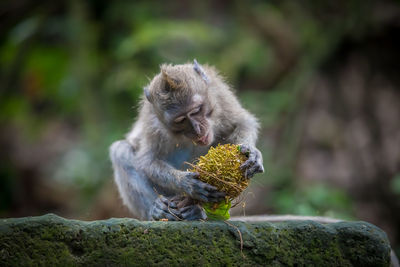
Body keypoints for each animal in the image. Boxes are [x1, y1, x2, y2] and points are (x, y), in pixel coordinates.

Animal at [109, 60, 264, 222]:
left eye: (196, 110)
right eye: (180, 120)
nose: (197, 129)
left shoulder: (220, 96)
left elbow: (243, 122)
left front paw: (251, 153)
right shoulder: (153, 123)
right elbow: (148, 161)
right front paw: (186, 183)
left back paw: (197, 211)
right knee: (120, 150)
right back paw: (157, 210)